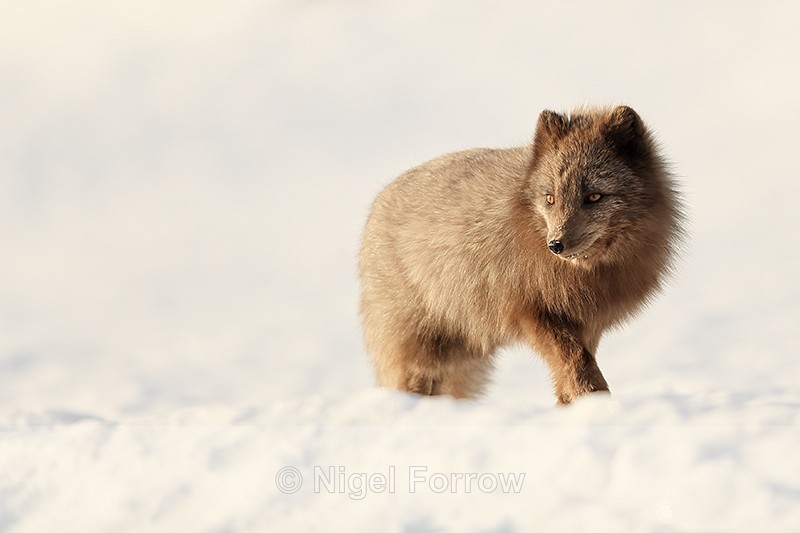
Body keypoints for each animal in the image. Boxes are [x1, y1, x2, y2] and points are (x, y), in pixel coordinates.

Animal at [358, 105, 683, 404]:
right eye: (550, 198)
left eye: (594, 196)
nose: (555, 245)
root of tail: (378, 202)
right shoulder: (533, 311)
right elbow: (575, 361)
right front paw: (594, 400)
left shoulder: (588, 325)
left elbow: (573, 367)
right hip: (422, 351)